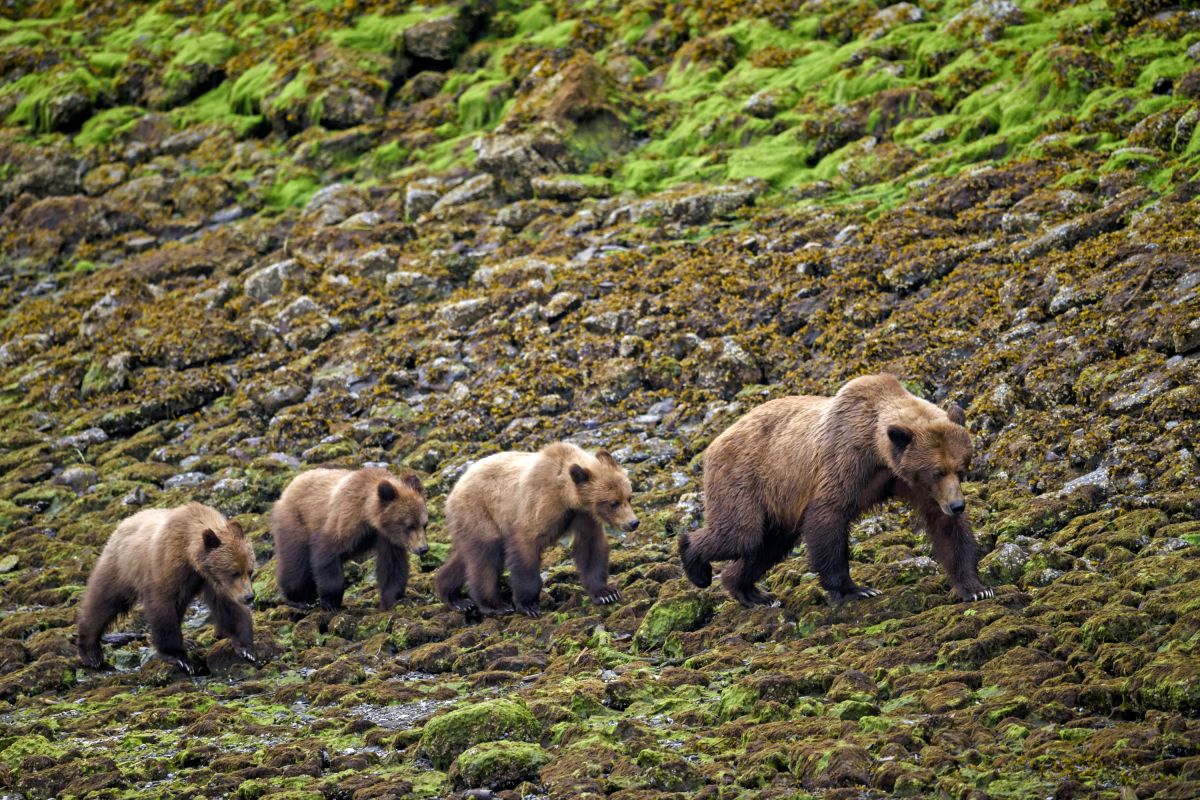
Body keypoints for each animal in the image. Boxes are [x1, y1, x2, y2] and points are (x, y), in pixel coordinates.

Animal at [77, 503, 256, 672]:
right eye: (234, 572)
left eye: (249, 570)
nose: (249, 597)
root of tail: (123, 523)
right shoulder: (166, 566)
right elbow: (162, 608)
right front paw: (180, 658)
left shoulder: (209, 580)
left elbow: (228, 606)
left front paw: (246, 648)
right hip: (120, 568)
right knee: (103, 602)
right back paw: (91, 653)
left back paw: (188, 642)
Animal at [271, 467, 427, 610]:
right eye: (409, 526)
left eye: (424, 524)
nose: (423, 548)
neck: (368, 515)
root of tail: (289, 486)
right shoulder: (346, 518)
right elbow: (327, 553)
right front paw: (331, 602)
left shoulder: (386, 537)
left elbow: (392, 565)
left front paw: (394, 598)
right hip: (296, 521)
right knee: (296, 561)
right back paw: (300, 599)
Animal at [434, 442, 639, 617]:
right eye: (613, 503)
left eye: (628, 497)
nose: (633, 522)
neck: (566, 495)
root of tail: (453, 490)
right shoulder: (541, 503)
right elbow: (526, 543)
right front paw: (528, 604)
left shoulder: (583, 515)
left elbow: (590, 547)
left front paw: (606, 593)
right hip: (480, 513)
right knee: (486, 557)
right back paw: (495, 605)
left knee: (465, 558)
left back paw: (455, 597)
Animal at [679, 373, 993, 606]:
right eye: (937, 471)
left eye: (961, 468)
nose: (957, 505)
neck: (879, 452)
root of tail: (715, 441)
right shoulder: (847, 460)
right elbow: (828, 515)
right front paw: (856, 589)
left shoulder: (911, 482)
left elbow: (946, 529)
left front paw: (976, 587)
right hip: (746, 479)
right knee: (741, 534)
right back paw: (696, 565)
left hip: (776, 503)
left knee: (767, 544)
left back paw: (751, 592)